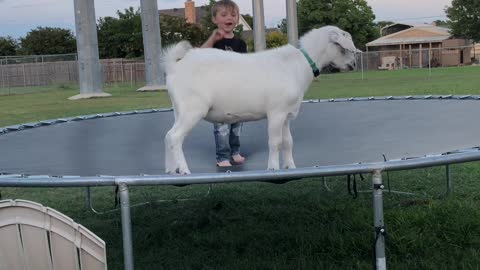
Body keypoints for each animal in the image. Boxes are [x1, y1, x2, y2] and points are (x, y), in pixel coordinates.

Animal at [164, 24, 356, 174]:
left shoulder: (286, 115)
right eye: (342, 47)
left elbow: (288, 142)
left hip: (178, 110)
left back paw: (171, 170)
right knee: (175, 136)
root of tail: (174, 66)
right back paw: (184, 170)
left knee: (168, 136)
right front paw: (273, 168)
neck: (299, 64)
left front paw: (290, 167)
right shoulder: (276, 113)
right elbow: (275, 142)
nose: (353, 65)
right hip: (192, 109)